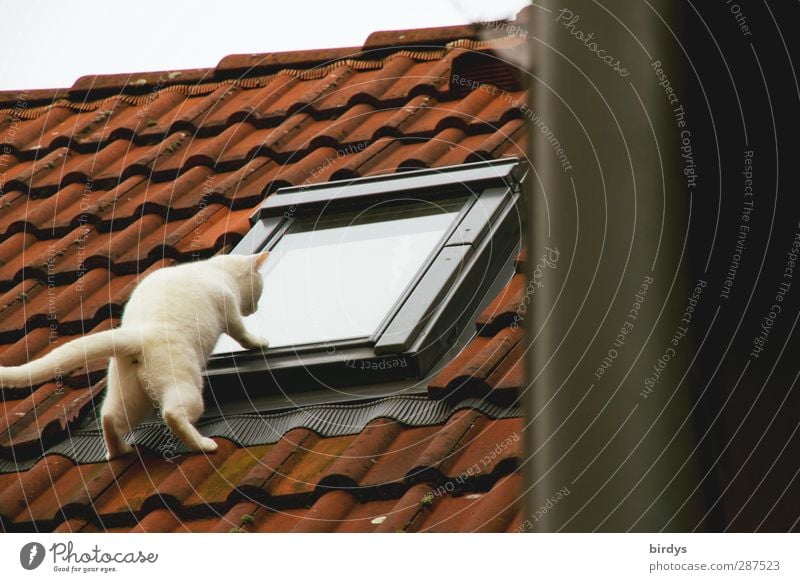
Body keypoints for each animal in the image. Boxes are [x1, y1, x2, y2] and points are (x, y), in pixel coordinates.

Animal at [0, 254, 268, 460]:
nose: (256, 308)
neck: (217, 269)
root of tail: (140, 334)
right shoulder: (230, 311)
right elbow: (242, 333)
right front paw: (259, 342)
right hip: (184, 383)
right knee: (172, 413)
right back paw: (203, 445)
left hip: (129, 395)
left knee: (109, 417)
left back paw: (119, 451)